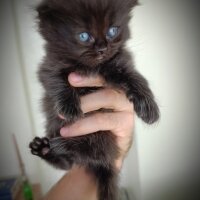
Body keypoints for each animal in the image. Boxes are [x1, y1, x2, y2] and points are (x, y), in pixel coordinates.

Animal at [28, 0, 159, 199]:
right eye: (84, 36)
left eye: (112, 31)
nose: (102, 48)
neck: (91, 67)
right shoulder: (49, 65)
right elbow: (57, 80)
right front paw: (69, 106)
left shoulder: (119, 62)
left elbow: (135, 77)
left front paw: (148, 106)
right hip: (58, 127)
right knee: (70, 162)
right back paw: (46, 147)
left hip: (101, 135)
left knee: (86, 154)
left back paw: (55, 146)